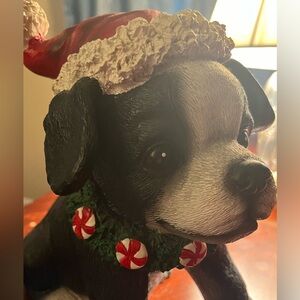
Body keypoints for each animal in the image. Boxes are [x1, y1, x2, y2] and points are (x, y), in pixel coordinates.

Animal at [24, 57, 276, 298]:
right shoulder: (113, 275)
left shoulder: (211, 253)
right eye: (160, 155)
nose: (255, 174)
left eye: (245, 136)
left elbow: (232, 286)